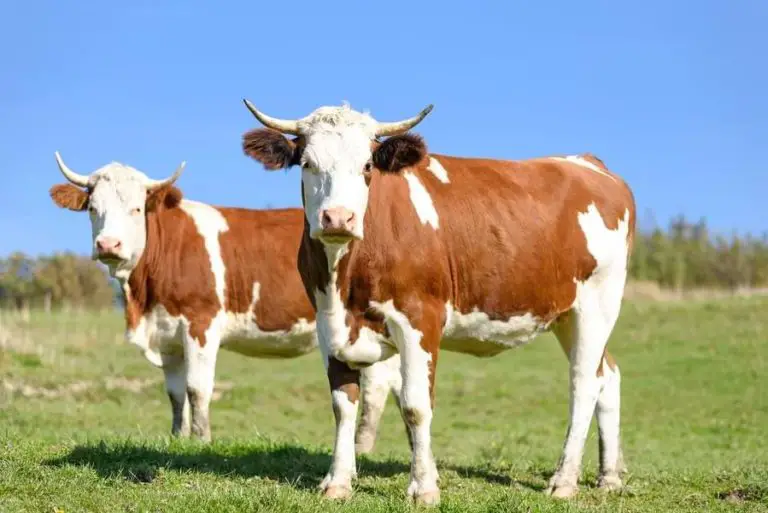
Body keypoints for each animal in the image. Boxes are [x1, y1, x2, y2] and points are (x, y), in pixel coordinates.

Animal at [48, 152, 403, 449]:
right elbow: (175, 393)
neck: (143, 298)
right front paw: (178, 437)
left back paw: (362, 446)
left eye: (136, 209)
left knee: (377, 387)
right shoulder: (167, 335)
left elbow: (197, 388)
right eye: (93, 209)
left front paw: (201, 440)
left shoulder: (200, 323)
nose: (108, 244)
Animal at [240, 101, 636, 505]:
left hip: (598, 303)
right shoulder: (327, 322)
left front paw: (423, 487)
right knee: (608, 375)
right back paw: (608, 476)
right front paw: (337, 481)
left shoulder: (420, 317)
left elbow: (415, 405)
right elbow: (343, 403)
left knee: (584, 383)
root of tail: (587, 162)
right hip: (565, 316)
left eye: (366, 166)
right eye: (307, 163)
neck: (345, 278)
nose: (338, 218)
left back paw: (564, 480)